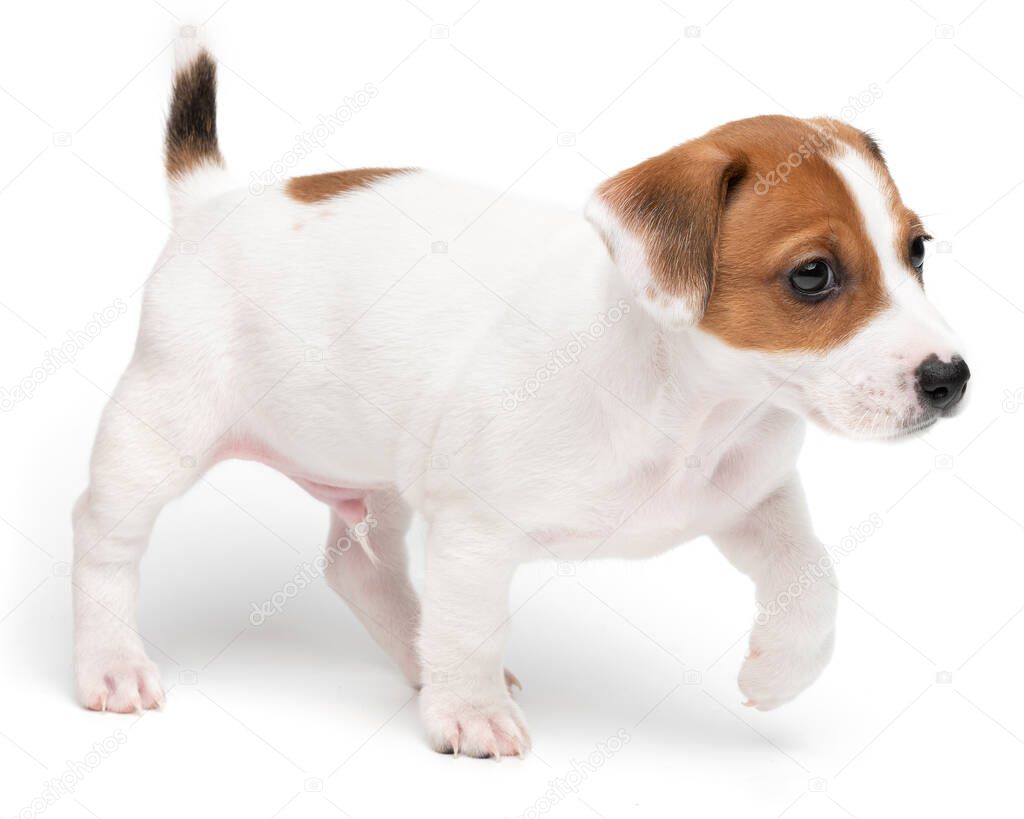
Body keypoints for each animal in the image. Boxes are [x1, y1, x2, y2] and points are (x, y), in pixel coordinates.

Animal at [72, 36, 966, 753]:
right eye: (813, 274)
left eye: (918, 249)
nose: (952, 379)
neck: (689, 403)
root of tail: (212, 200)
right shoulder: (475, 532)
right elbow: (471, 624)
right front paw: (468, 713)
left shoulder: (756, 498)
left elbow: (811, 573)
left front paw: (782, 669)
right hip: (159, 431)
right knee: (104, 540)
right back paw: (110, 663)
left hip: (376, 471)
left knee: (359, 571)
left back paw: (416, 658)